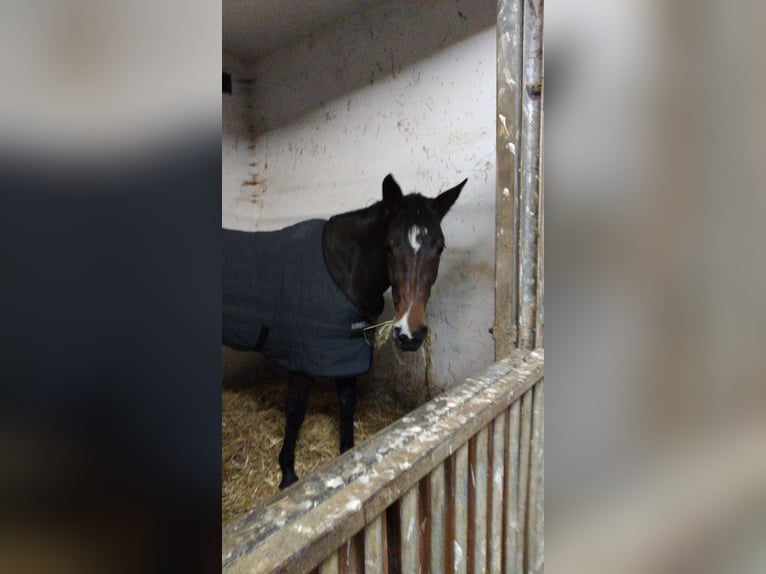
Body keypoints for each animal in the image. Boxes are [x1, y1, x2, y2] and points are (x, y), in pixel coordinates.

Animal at [222, 173, 468, 488]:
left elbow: (346, 407)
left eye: (439, 247)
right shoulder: (302, 362)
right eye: (389, 246)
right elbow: (295, 413)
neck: (342, 273)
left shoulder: (347, 357)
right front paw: (288, 475)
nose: (409, 333)